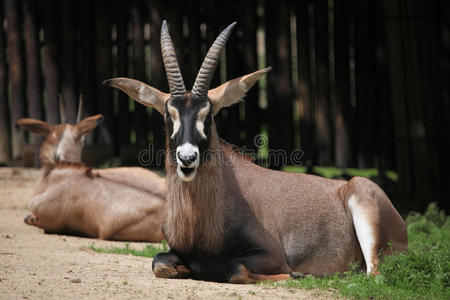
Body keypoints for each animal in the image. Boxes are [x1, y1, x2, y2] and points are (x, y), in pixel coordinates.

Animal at [105, 21, 408, 284]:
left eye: (209, 115)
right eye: (169, 115)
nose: (187, 159)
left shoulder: (270, 254)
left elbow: (235, 269)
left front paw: (296, 274)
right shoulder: (174, 251)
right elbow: (159, 263)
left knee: (372, 274)